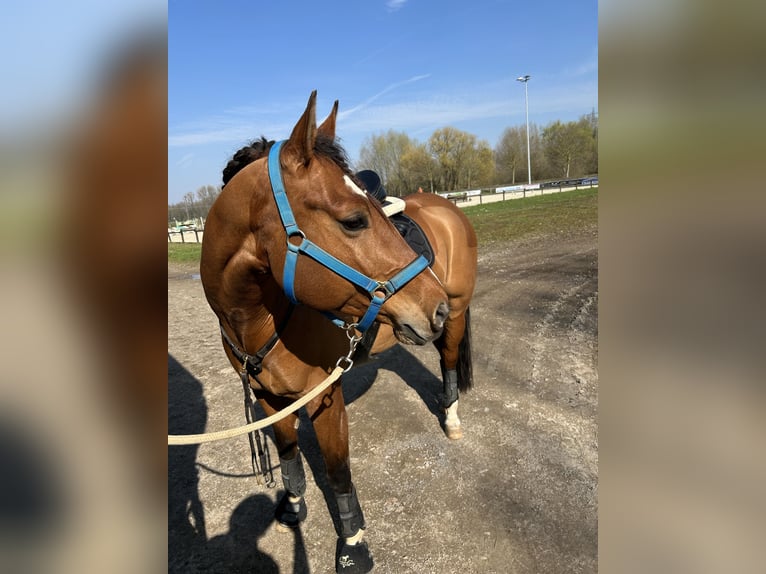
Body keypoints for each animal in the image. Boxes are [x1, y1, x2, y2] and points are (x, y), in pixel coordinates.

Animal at [199, 91, 477, 573]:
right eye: (353, 221)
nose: (434, 304)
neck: (262, 319)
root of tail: (448, 208)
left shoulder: (325, 399)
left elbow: (337, 471)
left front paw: (352, 543)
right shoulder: (270, 398)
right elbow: (289, 455)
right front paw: (293, 507)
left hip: (457, 317)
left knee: (446, 362)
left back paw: (452, 419)